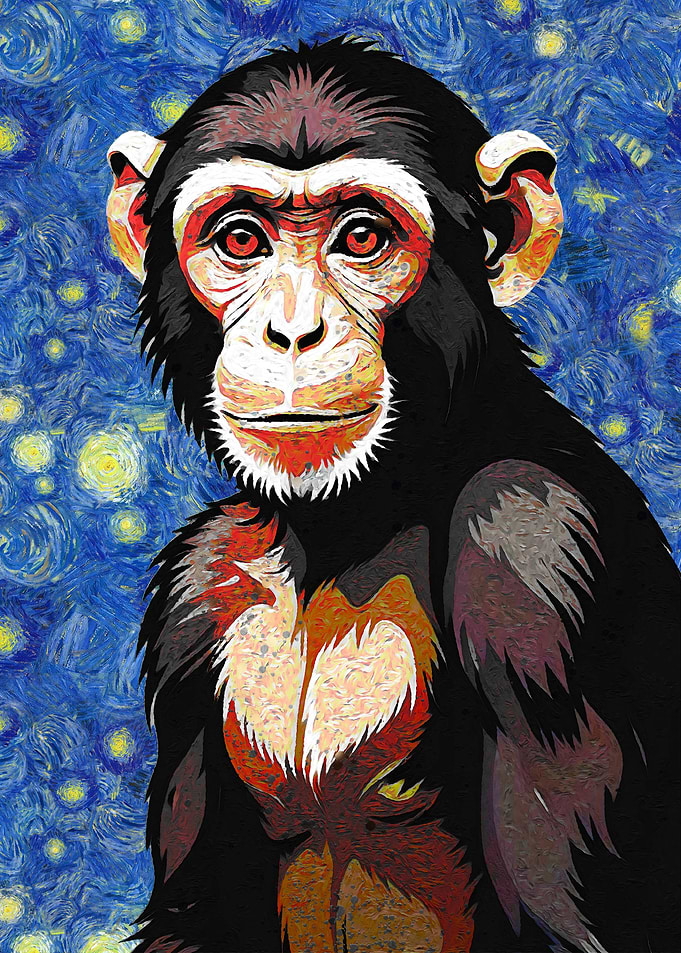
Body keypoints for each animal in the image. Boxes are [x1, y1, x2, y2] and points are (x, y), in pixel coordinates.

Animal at [106, 39, 680, 953]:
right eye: (241, 238)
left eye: (362, 237)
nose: (292, 332)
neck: (352, 523)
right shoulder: (194, 593)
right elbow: (191, 908)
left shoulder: (528, 554)